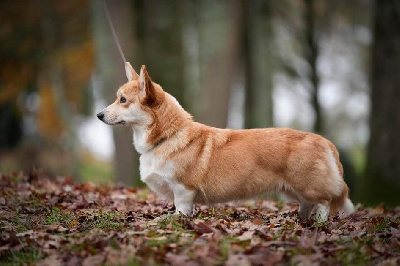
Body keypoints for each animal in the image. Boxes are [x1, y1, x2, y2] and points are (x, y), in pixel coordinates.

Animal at [98, 61, 354, 221]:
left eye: (122, 100)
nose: (98, 115)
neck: (167, 136)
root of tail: (325, 142)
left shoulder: (183, 189)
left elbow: (181, 209)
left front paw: (173, 222)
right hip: (293, 189)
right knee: (307, 205)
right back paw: (301, 221)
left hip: (307, 185)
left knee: (324, 202)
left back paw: (318, 223)